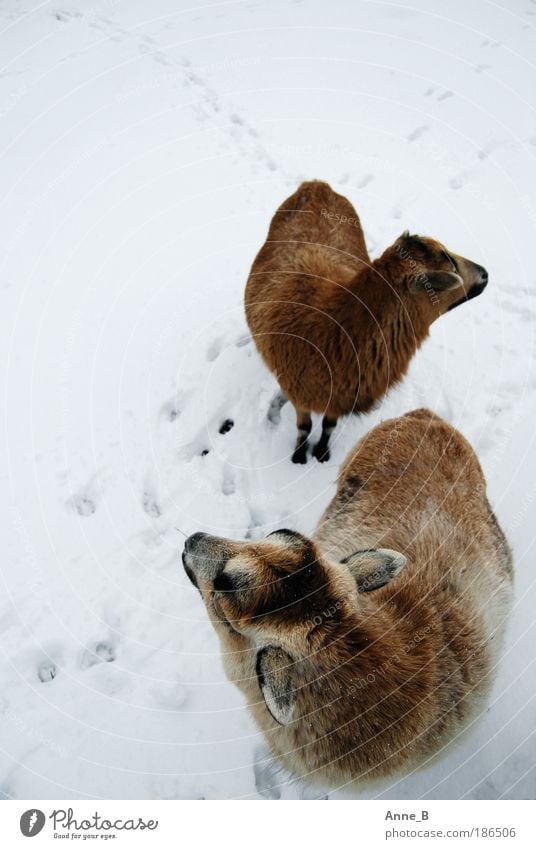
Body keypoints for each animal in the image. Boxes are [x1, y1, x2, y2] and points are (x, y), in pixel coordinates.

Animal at [245, 181, 488, 464]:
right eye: (450, 265)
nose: (485, 273)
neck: (337, 330)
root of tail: (316, 185)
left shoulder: (341, 397)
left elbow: (328, 425)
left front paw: (322, 452)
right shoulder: (298, 394)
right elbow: (304, 427)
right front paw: (299, 456)